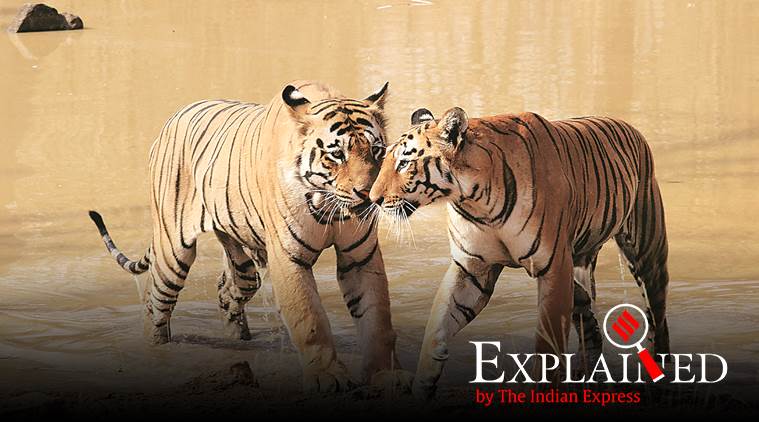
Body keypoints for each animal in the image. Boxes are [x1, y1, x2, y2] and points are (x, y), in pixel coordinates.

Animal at [88, 81, 413, 393]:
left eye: (376, 151)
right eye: (337, 154)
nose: (369, 195)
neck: (329, 204)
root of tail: (174, 117)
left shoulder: (360, 257)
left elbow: (376, 319)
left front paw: (385, 375)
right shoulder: (289, 259)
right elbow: (311, 320)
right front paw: (327, 375)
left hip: (245, 267)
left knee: (227, 291)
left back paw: (241, 341)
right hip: (173, 253)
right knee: (155, 302)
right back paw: (156, 350)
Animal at [369, 106, 670, 399]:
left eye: (404, 163)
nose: (374, 199)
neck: (474, 200)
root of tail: (629, 126)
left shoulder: (553, 269)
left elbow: (546, 344)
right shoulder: (472, 269)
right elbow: (438, 325)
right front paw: (424, 382)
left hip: (646, 252)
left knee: (657, 318)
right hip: (578, 274)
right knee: (591, 328)